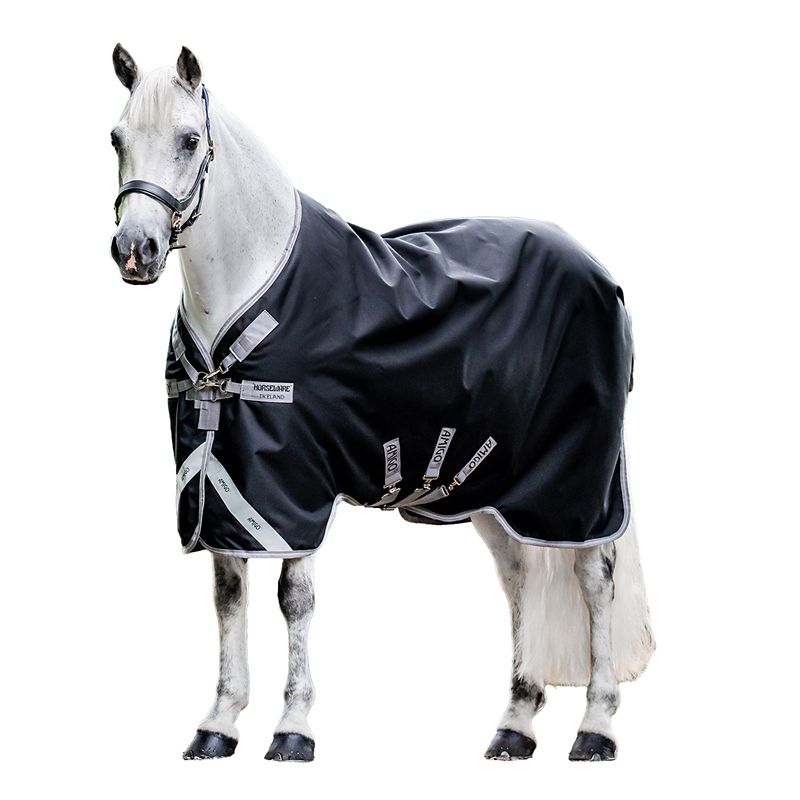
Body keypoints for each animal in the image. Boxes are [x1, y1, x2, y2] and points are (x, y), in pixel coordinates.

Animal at [108, 44, 654, 763]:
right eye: (116, 138)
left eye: (189, 139)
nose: (134, 251)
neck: (248, 288)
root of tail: (599, 272)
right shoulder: (223, 487)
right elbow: (228, 595)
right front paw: (218, 726)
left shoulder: (295, 488)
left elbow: (294, 597)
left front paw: (293, 729)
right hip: (493, 487)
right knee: (520, 579)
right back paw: (515, 724)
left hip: (577, 486)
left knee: (595, 579)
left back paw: (596, 727)